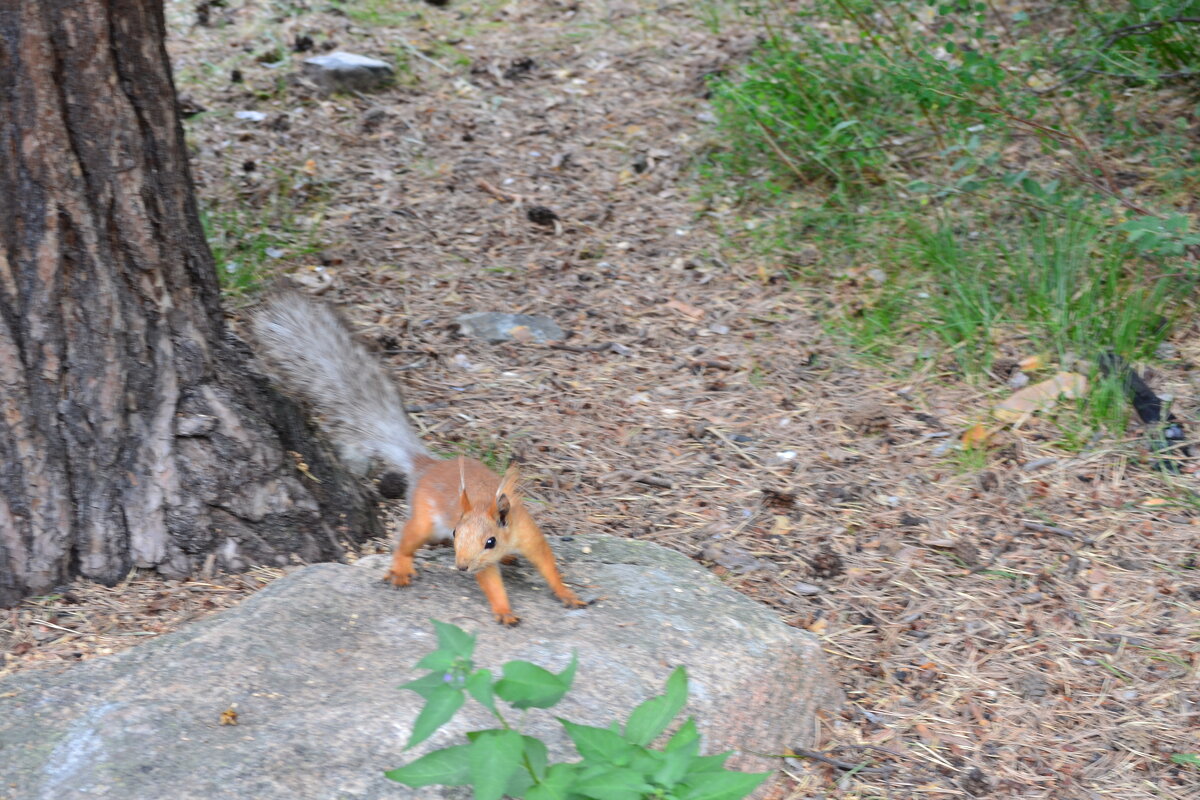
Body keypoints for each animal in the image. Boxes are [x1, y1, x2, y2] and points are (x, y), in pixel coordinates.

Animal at [252, 293, 585, 623]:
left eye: (490, 541)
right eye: (456, 532)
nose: (461, 567)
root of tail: (427, 466)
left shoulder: (529, 534)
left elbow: (547, 563)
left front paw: (567, 594)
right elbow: (490, 582)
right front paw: (504, 611)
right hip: (424, 520)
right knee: (406, 539)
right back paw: (401, 568)